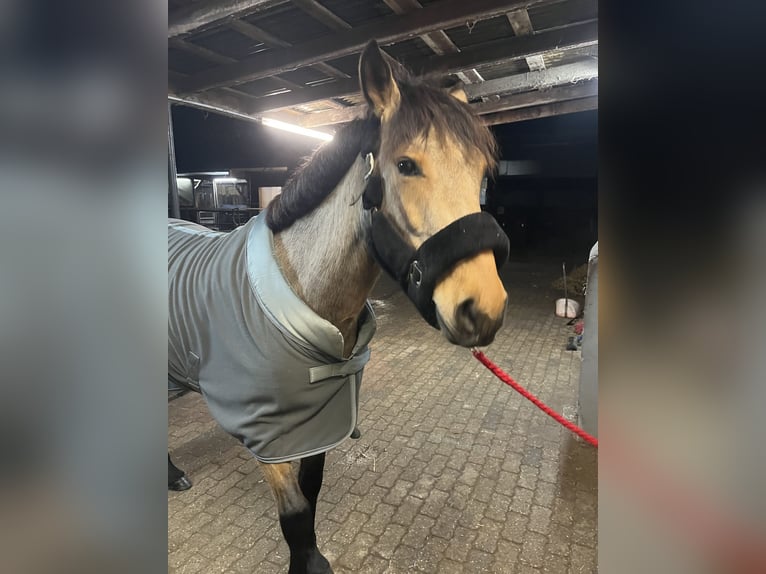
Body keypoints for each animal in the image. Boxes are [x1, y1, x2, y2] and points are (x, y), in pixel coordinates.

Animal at [170, 40, 510, 574]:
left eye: (480, 173)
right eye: (406, 165)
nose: (484, 308)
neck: (302, 295)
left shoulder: (316, 424)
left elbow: (312, 497)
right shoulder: (269, 440)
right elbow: (295, 520)